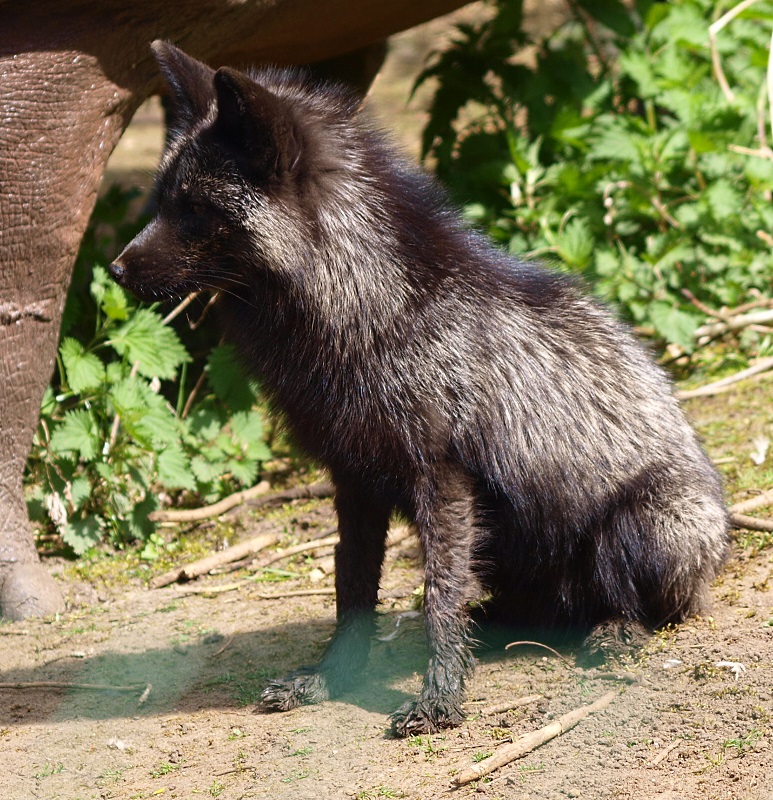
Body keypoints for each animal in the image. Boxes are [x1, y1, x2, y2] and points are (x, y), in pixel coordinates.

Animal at [110, 41, 729, 737]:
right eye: (164, 201)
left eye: (194, 208)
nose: (115, 269)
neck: (367, 308)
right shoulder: (353, 478)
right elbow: (353, 591)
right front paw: (332, 678)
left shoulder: (442, 476)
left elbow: (439, 594)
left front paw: (440, 699)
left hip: (640, 526)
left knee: (639, 604)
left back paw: (614, 630)